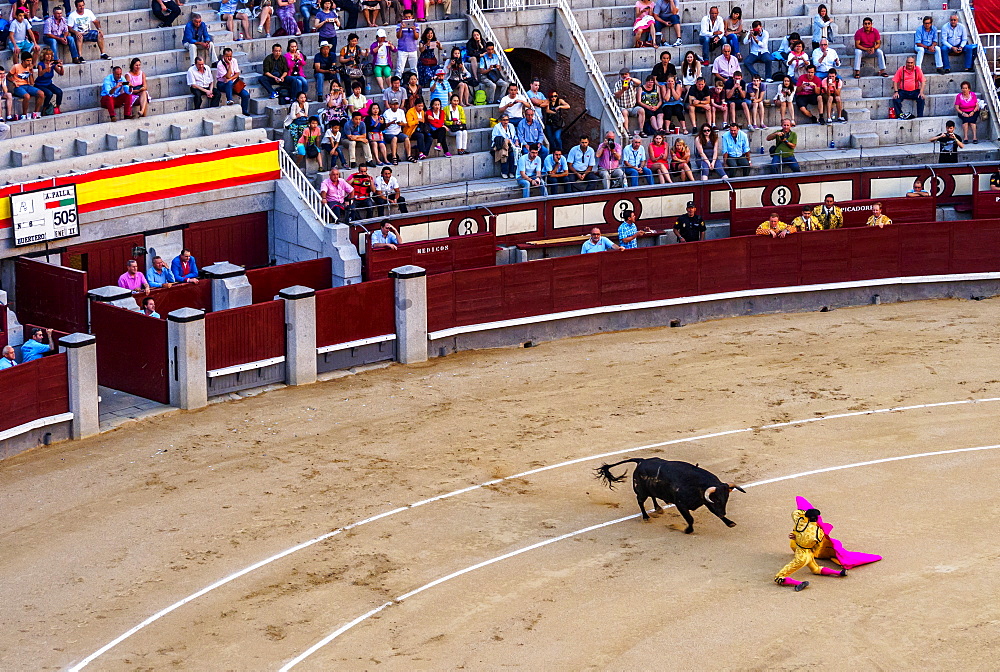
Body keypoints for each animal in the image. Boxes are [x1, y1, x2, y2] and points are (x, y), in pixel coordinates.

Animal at [592, 460, 744, 532]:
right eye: (716, 499)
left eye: (726, 499)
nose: (723, 512)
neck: (697, 484)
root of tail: (642, 460)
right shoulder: (681, 504)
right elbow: (690, 519)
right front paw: (688, 530)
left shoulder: (706, 502)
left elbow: (714, 513)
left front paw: (730, 522)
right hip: (641, 491)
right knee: (640, 501)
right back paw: (646, 517)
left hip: (652, 488)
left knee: (653, 496)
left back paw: (658, 508)